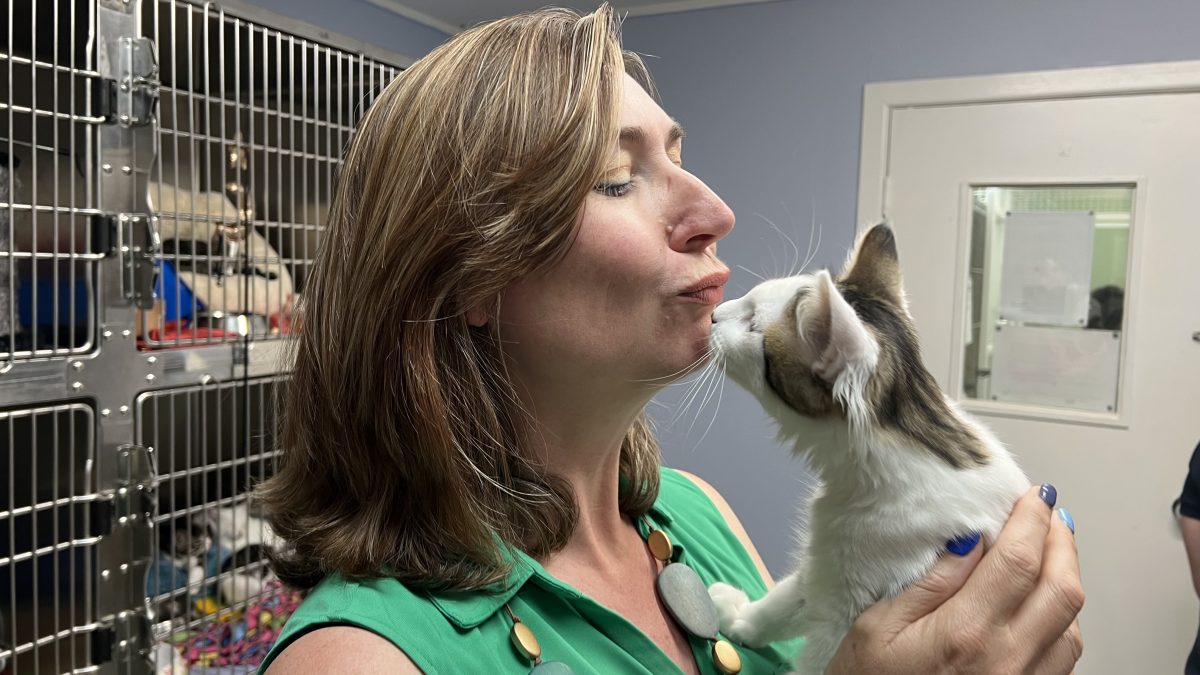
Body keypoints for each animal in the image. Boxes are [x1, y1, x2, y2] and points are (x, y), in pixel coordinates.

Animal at [705, 223, 1027, 667]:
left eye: (753, 324)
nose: (714, 314)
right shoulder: (823, 572)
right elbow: (784, 603)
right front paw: (743, 619)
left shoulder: (846, 617)